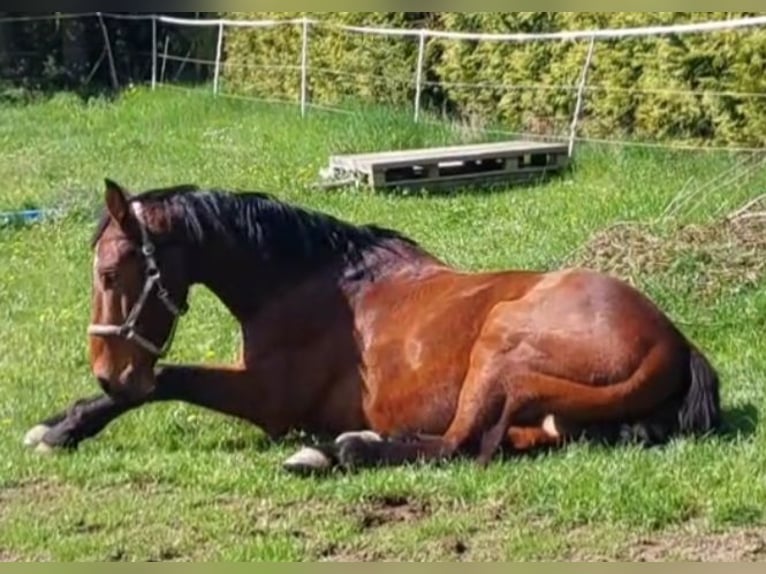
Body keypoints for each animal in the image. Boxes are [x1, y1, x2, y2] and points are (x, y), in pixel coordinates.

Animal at [22, 181, 720, 476]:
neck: (305, 280)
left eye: (110, 272)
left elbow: (167, 377)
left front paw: (67, 427)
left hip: (500, 346)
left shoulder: (268, 400)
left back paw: (336, 452)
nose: (107, 372)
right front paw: (60, 422)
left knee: (459, 445)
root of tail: (674, 342)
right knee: (506, 437)